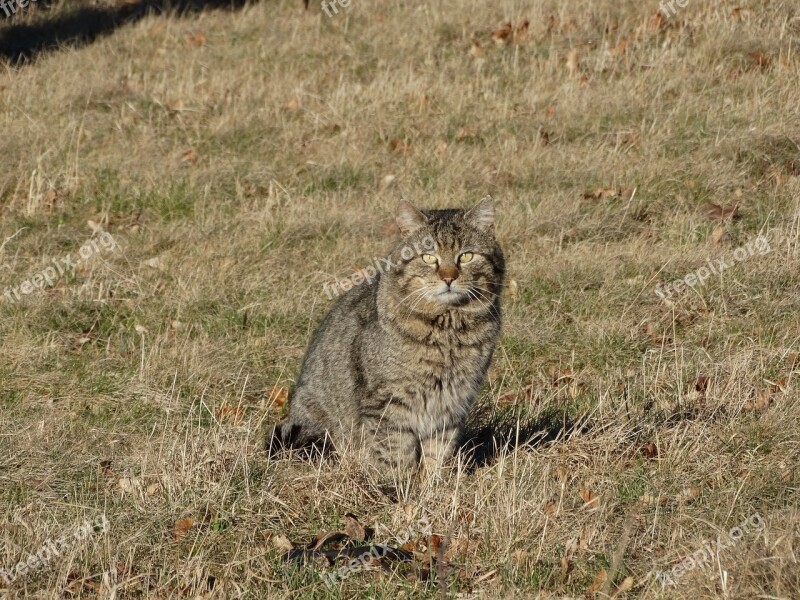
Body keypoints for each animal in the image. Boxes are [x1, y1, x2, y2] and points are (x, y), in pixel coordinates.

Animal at [268, 199, 506, 472]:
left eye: (466, 256)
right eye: (428, 257)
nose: (448, 277)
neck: (448, 329)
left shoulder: (453, 402)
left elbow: (438, 452)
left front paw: (434, 480)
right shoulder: (388, 402)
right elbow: (395, 452)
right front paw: (397, 482)